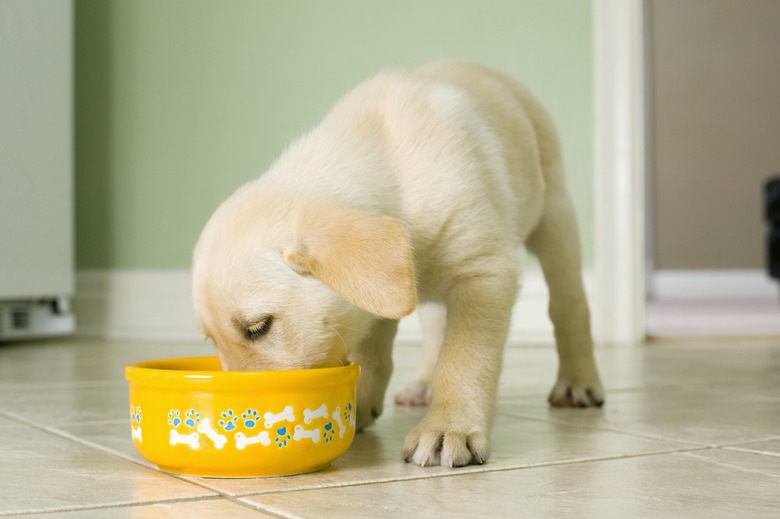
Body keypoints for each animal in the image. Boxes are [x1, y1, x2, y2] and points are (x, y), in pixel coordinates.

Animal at [192, 62, 608, 472]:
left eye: (258, 328)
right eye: (212, 340)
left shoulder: (484, 272)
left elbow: (465, 357)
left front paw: (449, 427)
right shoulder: (382, 291)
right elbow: (374, 350)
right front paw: (358, 406)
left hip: (554, 216)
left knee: (568, 304)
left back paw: (578, 382)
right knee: (436, 328)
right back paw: (422, 386)